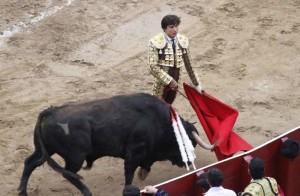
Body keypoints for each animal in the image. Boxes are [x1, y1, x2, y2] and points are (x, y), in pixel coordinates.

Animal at [17, 92, 213, 195]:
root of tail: (49, 111)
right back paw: (87, 192)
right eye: (188, 144)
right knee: (70, 174)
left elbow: (143, 167)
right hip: (75, 157)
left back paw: (22, 191)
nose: (189, 162)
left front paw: (143, 173)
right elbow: (129, 173)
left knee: (30, 162)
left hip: (46, 150)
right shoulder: (134, 153)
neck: (161, 122)